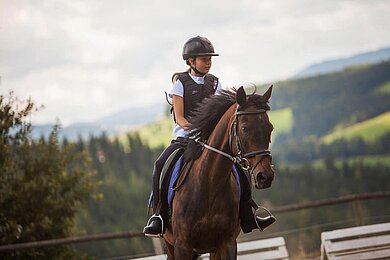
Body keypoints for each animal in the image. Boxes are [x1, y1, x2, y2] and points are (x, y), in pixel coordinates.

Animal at [161, 85, 274, 258]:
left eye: (270, 128)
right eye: (244, 128)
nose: (265, 176)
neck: (209, 184)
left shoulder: (227, 243)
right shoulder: (182, 246)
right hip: (171, 245)